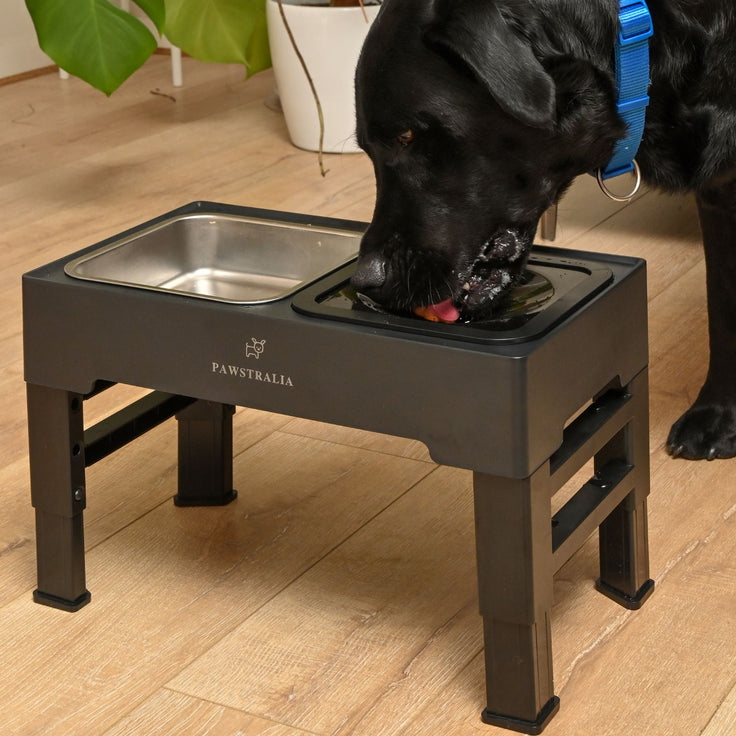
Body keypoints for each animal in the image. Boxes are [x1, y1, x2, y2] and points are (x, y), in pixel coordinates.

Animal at [350, 0, 736, 460]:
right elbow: (722, 308)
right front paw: (717, 414)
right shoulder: (718, 193)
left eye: (406, 136)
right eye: (366, 148)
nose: (364, 280)